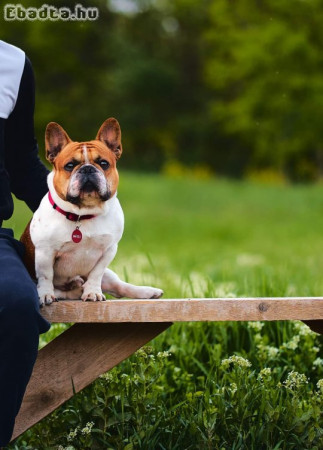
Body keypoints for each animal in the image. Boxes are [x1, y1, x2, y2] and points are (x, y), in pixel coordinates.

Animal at [20, 118, 165, 306]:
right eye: (70, 165)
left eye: (103, 163)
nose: (87, 169)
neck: (83, 214)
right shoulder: (45, 252)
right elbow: (46, 277)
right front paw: (45, 294)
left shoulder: (108, 250)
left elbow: (96, 274)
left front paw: (93, 292)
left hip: (110, 276)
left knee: (118, 287)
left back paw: (148, 292)